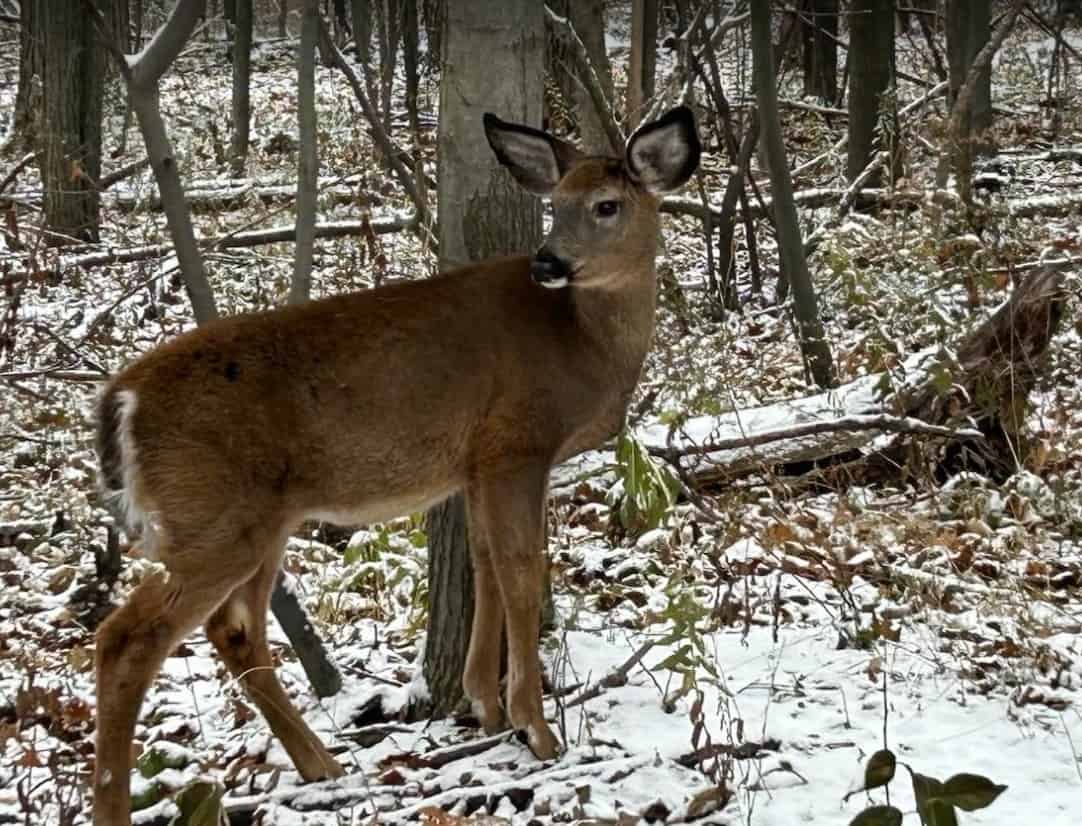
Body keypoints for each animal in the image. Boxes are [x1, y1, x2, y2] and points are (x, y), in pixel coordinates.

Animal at [90, 106, 701, 822]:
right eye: (555, 205)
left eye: (606, 204)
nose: (547, 261)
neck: (584, 343)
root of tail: (119, 400)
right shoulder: (516, 442)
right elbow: (522, 574)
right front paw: (537, 729)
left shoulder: (476, 462)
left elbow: (484, 566)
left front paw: (484, 705)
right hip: (212, 513)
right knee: (129, 638)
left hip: (257, 518)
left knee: (233, 628)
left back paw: (321, 764)